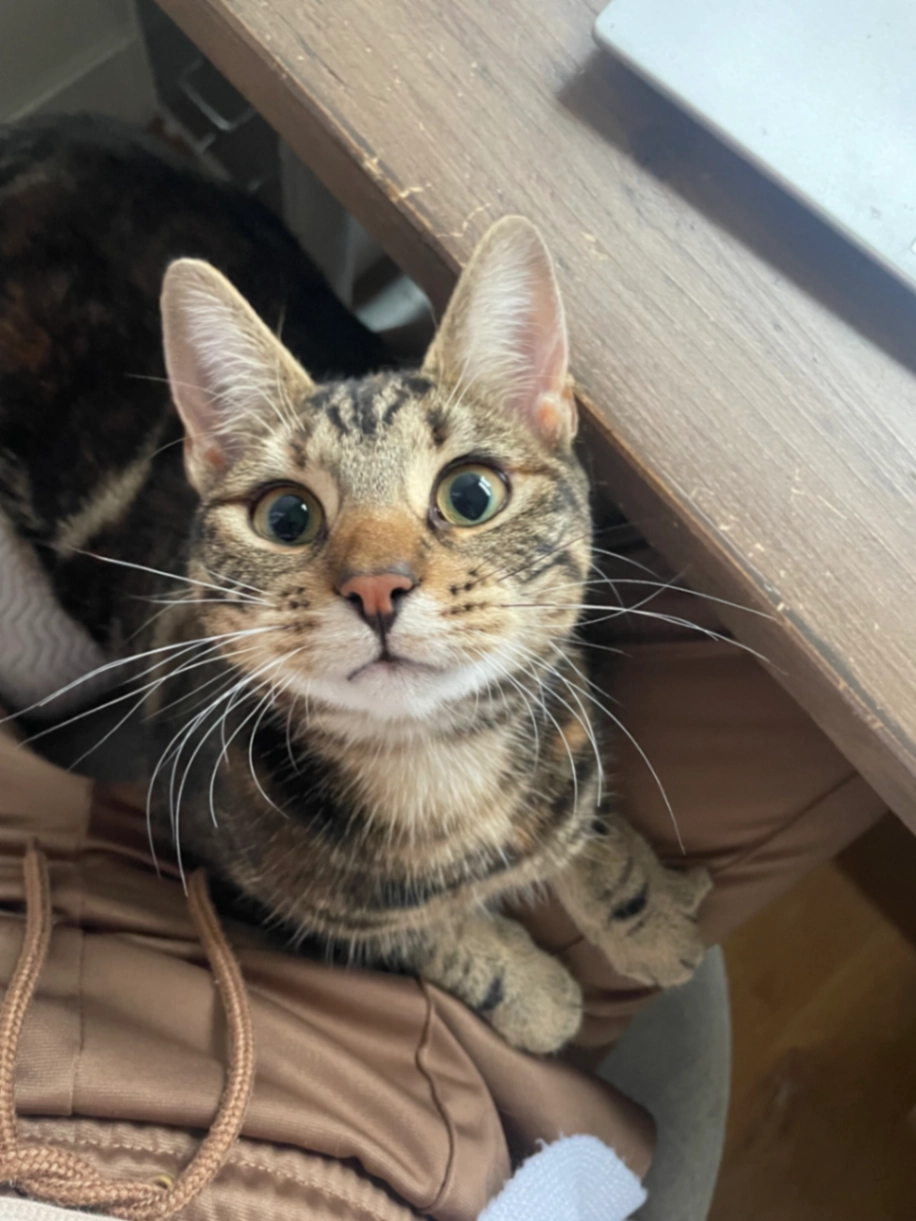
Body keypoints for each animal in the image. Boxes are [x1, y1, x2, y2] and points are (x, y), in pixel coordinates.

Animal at [0, 115, 709, 1054]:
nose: (378, 587)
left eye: (472, 493)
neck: (437, 771)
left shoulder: (569, 717)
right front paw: (524, 986)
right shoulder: (241, 868)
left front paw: (644, 912)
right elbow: (414, 934)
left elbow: (583, 816)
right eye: (286, 516)